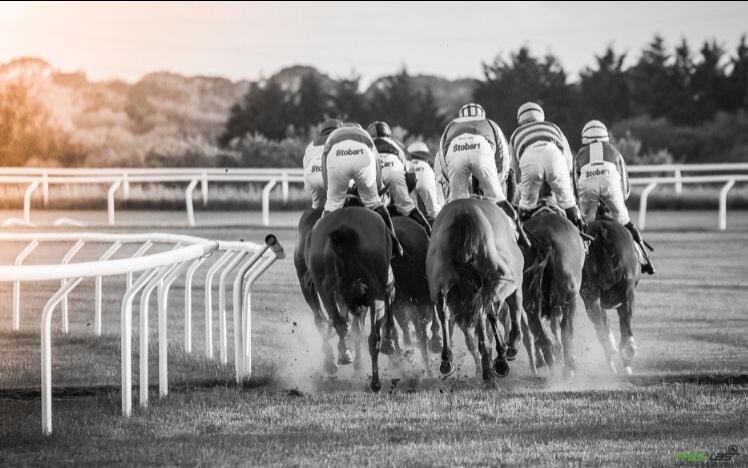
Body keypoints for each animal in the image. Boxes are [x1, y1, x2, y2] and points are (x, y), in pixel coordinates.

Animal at [306, 205, 394, 392]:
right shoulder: (386, 288)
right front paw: (389, 343)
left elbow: (348, 325)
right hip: (375, 293)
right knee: (372, 336)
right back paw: (374, 381)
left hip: (325, 288)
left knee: (340, 323)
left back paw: (344, 356)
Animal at [426, 199, 524, 382]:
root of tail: (464, 215)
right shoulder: (514, 281)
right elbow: (514, 309)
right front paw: (512, 346)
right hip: (502, 278)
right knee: (493, 306)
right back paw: (501, 359)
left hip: (440, 282)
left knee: (443, 310)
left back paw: (447, 359)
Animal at [520, 203, 584, 378]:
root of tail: (546, 239)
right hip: (570, 295)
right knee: (565, 329)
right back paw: (566, 368)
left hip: (530, 295)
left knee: (539, 328)